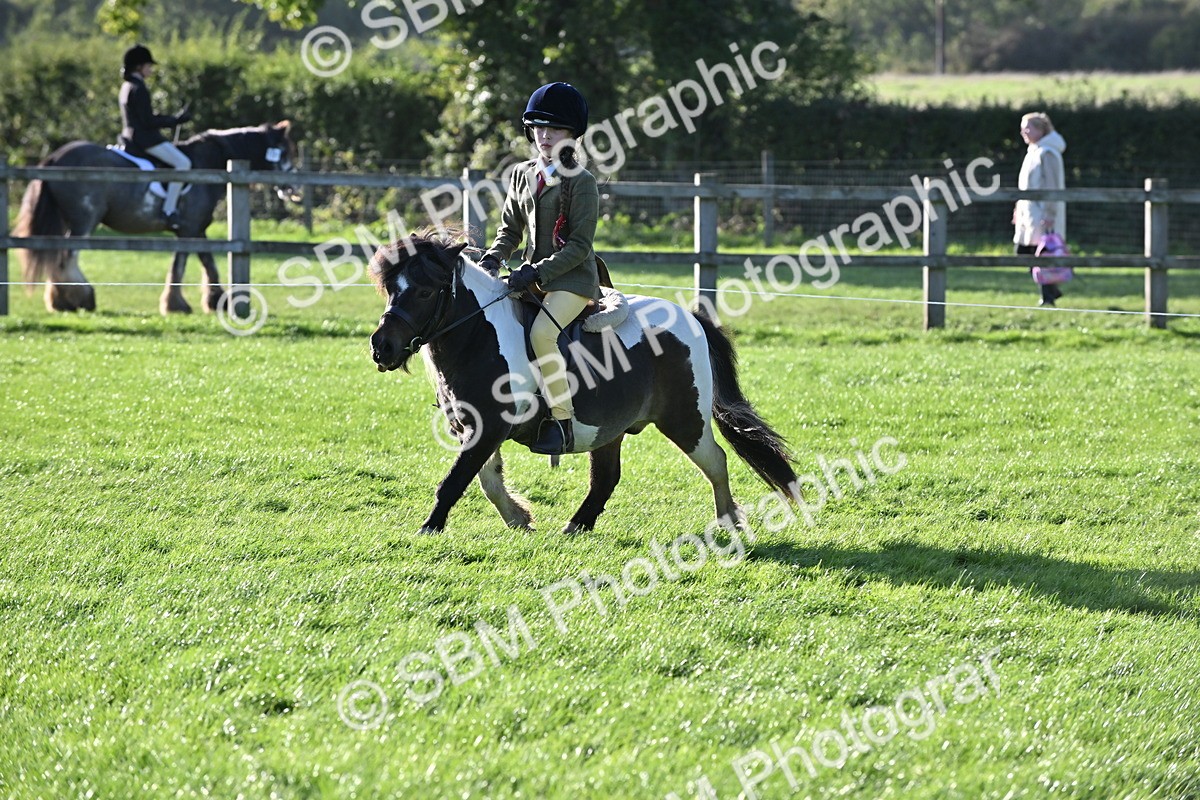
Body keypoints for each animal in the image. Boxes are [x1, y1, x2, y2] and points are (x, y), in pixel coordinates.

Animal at [15, 121, 300, 314]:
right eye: (284, 151)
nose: (293, 189)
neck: (210, 164)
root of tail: (55, 156)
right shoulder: (188, 229)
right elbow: (181, 265)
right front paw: (177, 305)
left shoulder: (196, 228)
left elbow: (208, 263)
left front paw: (217, 301)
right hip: (84, 221)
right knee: (67, 256)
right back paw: (83, 298)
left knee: (57, 256)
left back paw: (60, 301)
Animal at [368, 231, 804, 535]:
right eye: (390, 289)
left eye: (425, 290)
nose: (381, 347)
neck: (479, 336)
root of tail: (692, 317)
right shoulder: (471, 427)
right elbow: (487, 480)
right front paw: (519, 518)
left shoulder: (489, 427)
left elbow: (456, 480)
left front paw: (430, 527)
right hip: (609, 428)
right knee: (606, 478)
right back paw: (577, 525)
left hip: (685, 421)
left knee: (716, 461)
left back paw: (730, 521)